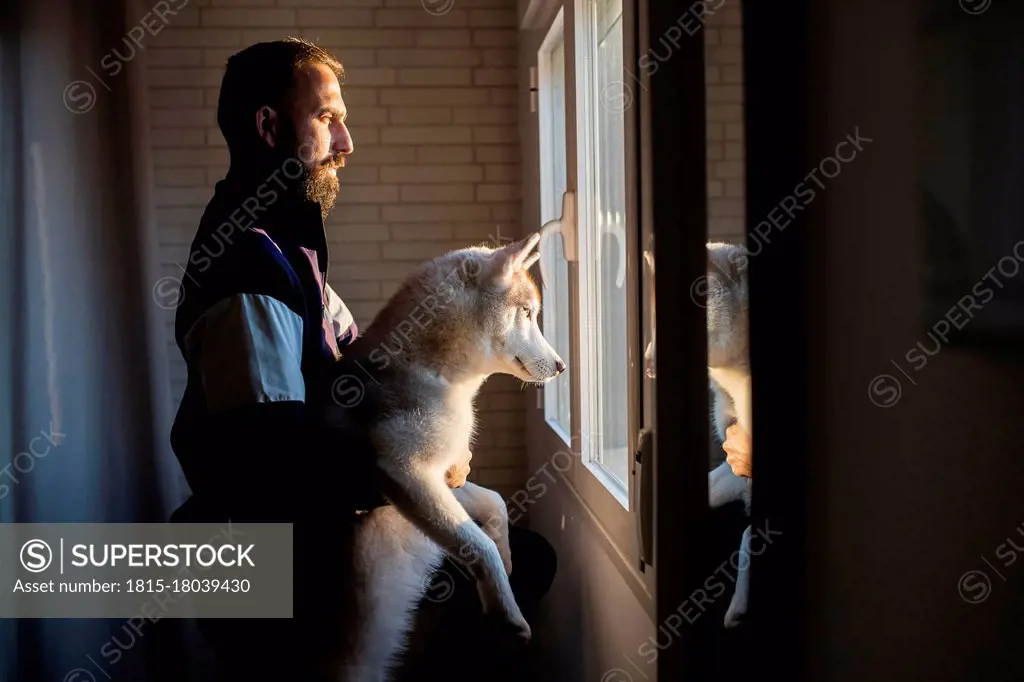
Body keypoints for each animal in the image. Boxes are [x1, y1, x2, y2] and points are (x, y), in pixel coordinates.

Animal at [323, 233, 565, 679]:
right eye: (527, 312)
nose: (560, 366)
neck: (431, 371)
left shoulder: (442, 477)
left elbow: (494, 502)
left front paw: (506, 556)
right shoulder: (403, 473)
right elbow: (477, 544)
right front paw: (506, 611)